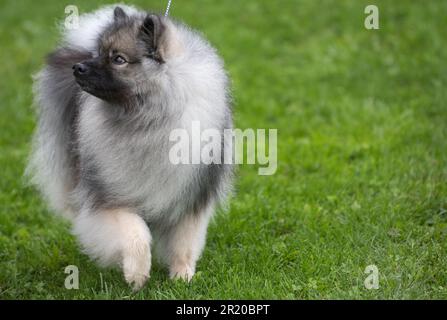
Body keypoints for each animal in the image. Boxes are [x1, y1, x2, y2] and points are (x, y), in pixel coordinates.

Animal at [27, 4, 234, 290]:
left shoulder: (190, 199)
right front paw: (137, 274)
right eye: (99, 53)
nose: (78, 67)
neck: (148, 121)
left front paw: (182, 275)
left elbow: (184, 243)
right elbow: (136, 234)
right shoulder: (109, 201)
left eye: (118, 59)